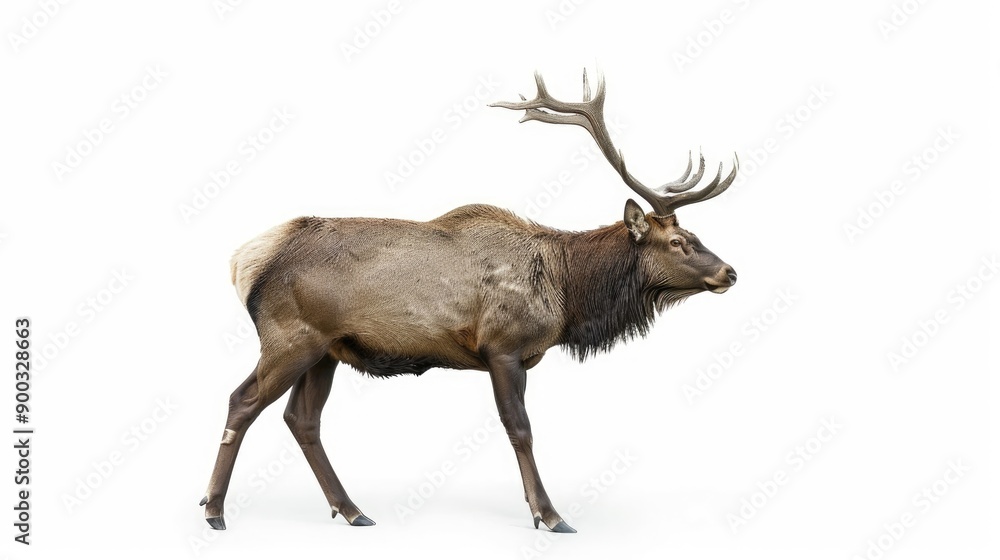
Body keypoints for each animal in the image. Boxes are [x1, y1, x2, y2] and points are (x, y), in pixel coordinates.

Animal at [200, 70, 739, 533]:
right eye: (678, 242)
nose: (729, 271)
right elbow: (520, 429)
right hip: (290, 339)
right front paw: (550, 514)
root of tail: (245, 260)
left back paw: (352, 510)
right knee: (242, 401)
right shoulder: (503, 347)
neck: (567, 293)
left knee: (302, 419)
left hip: (327, 350)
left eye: (694, 236)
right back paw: (213, 509)